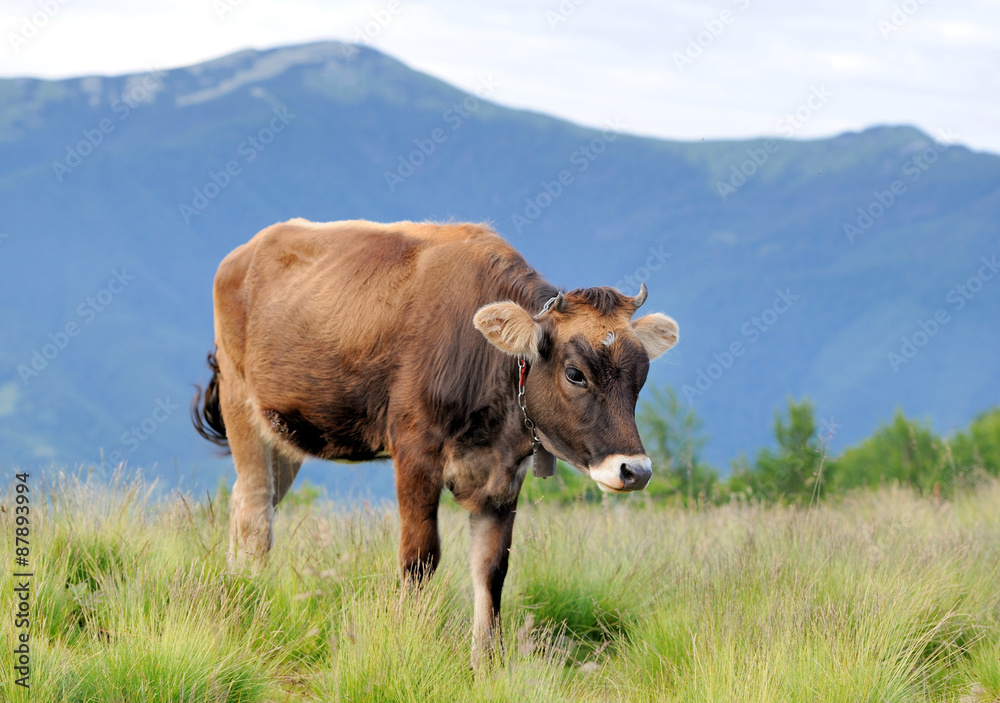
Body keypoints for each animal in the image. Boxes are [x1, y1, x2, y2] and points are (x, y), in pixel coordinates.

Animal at [193, 219, 680, 664]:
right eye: (575, 373)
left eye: (641, 375)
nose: (635, 471)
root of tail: (246, 251)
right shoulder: (414, 451)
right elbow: (420, 557)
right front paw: (407, 643)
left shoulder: (505, 477)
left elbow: (491, 567)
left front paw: (486, 664)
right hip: (241, 403)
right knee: (255, 513)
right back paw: (249, 598)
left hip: (285, 433)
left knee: (246, 501)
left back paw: (240, 585)